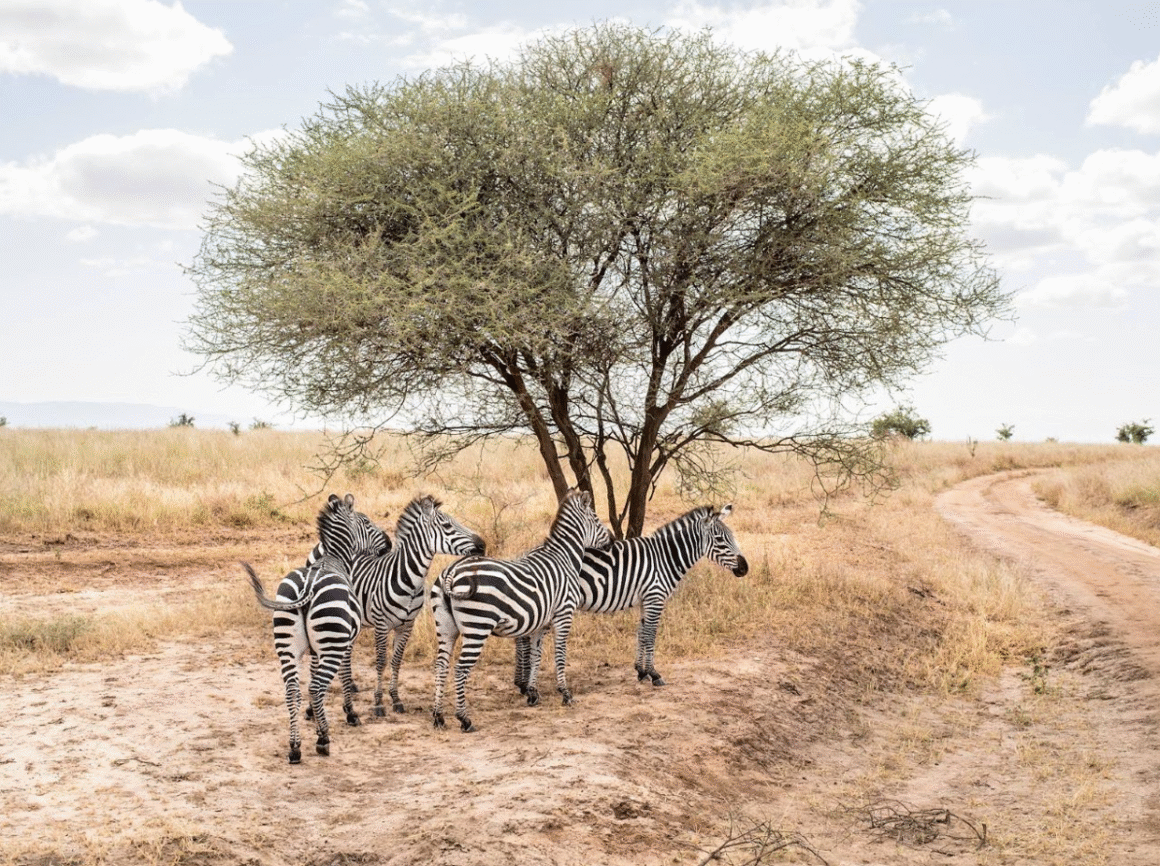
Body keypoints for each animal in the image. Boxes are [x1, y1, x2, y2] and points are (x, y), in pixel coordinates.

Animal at [244, 493, 378, 764]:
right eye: (367, 523)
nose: (388, 545)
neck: (335, 559)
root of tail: (309, 585)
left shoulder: (317, 649)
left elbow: (312, 675)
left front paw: (313, 714)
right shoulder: (346, 643)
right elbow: (344, 675)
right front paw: (349, 713)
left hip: (287, 643)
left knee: (292, 690)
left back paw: (295, 747)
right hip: (332, 643)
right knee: (316, 687)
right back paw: (323, 739)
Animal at [339, 495, 486, 717]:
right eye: (447, 525)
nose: (482, 544)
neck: (408, 580)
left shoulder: (407, 625)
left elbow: (396, 660)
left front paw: (395, 699)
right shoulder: (381, 625)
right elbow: (381, 661)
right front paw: (378, 703)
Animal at [430, 488, 612, 732]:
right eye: (595, 518)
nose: (612, 540)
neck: (564, 558)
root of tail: (450, 570)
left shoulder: (540, 623)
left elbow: (536, 655)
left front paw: (533, 693)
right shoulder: (563, 614)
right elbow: (560, 655)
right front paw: (565, 693)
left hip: (446, 627)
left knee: (441, 666)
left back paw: (438, 717)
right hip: (478, 626)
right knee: (460, 669)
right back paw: (464, 719)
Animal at [514, 504, 748, 692]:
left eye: (732, 537)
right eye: (720, 539)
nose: (745, 568)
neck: (665, 558)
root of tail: (528, 554)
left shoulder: (646, 600)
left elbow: (642, 633)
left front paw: (641, 671)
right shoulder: (655, 597)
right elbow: (651, 635)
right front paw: (654, 674)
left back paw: (522, 683)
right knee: (525, 637)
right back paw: (525, 685)